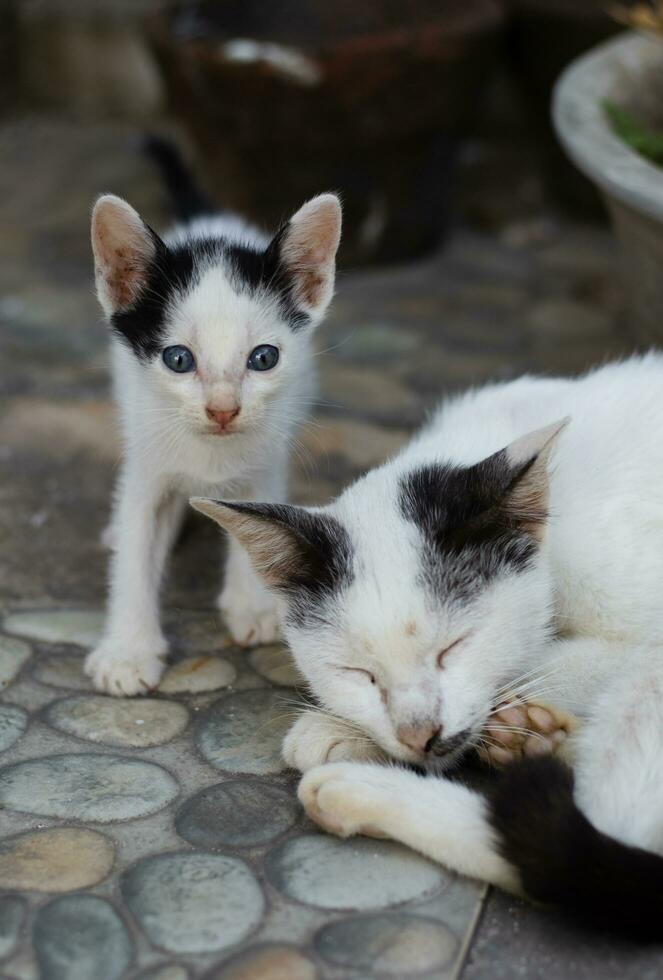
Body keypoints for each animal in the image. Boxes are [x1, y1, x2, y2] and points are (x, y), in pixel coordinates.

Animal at [86, 145, 342, 696]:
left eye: (263, 358)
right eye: (179, 360)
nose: (223, 409)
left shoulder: (268, 456)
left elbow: (258, 517)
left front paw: (252, 604)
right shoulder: (148, 466)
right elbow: (136, 549)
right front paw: (128, 651)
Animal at [197, 354, 663, 940]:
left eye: (454, 648)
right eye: (360, 674)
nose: (420, 733)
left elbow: (555, 660)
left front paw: (327, 728)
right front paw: (351, 728)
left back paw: (360, 790)